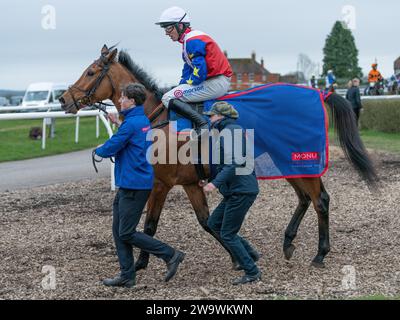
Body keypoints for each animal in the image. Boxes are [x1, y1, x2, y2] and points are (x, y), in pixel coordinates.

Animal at [59, 45, 378, 270]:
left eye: (90, 72)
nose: (64, 99)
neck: (156, 118)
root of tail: (318, 93)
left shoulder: (161, 184)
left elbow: (150, 224)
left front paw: (140, 263)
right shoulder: (189, 183)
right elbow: (206, 222)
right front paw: (242, 255)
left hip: (301, 158)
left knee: (320, 199)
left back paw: (320, 254)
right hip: (288, 160)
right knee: (304, 198)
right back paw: (288, 242)